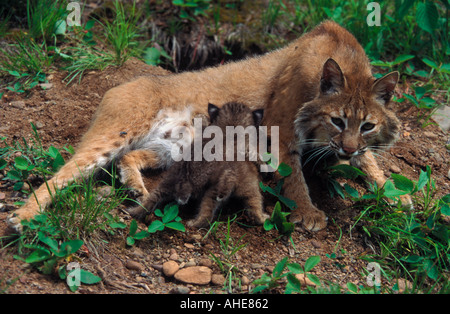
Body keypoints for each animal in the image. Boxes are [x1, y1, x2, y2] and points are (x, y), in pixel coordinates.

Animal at [128, 103, 268, 228]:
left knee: (152, 199)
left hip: (168, 182)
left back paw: (133, 211)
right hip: (238, 188)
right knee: (249, 209)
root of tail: (184, 179)